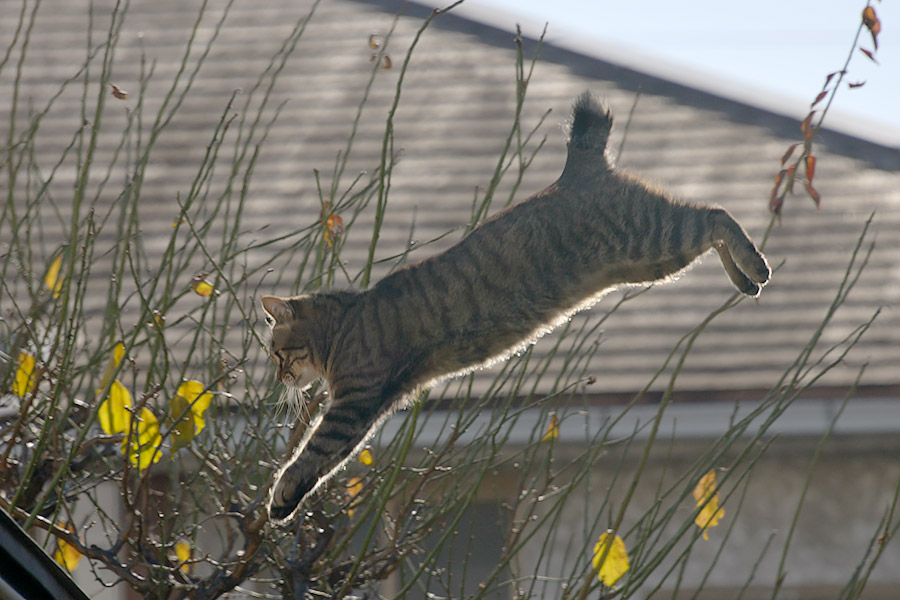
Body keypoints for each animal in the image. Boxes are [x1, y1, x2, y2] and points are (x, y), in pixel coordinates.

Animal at [262, 92, 772, 520]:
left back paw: (755, 265)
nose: (279, 377)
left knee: (716, 215)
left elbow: (312, 452)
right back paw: (743, 280)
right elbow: (324, 461)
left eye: (276, 352)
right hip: (656, 258)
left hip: (654, 234)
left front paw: (282, 493)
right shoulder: (372, 405)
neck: (343, 327)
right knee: (711, 226)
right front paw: (288, 498)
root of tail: (577, 168)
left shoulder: (355, 401)